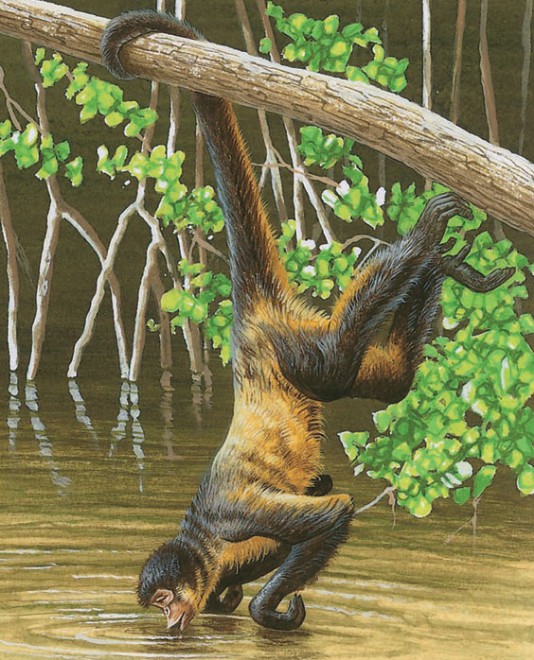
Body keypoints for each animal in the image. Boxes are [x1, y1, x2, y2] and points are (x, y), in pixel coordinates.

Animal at [101, 10, 514, 633]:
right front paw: (234, 599)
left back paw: (421, 240)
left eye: (167, 597)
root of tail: (253, 322)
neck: (201, 535)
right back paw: (439, 262)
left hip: (296, 351)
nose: (170, 622)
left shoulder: (231, 515)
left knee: (336, 366)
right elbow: (322, 489)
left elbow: (335, 509)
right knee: (391, 382)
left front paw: (266, 608)